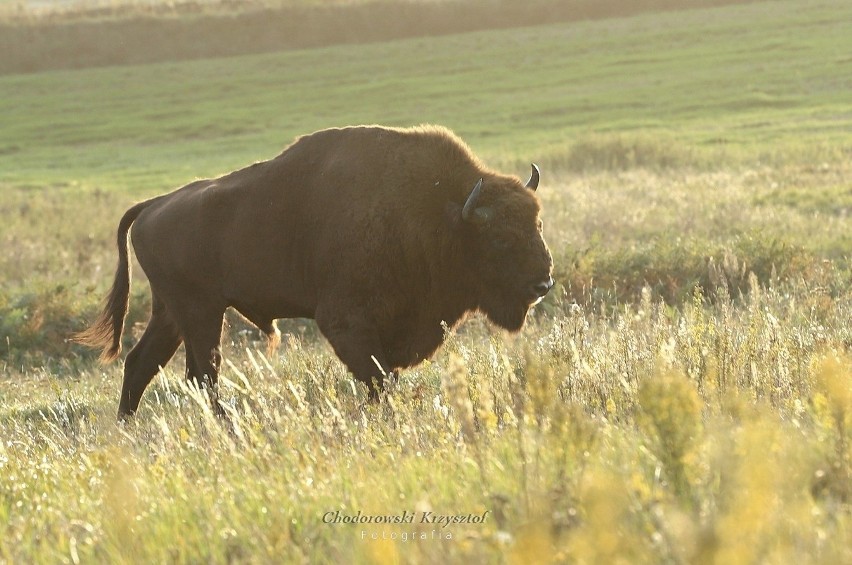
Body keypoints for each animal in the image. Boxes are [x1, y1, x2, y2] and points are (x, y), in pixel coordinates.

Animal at [76, 124, 556, 414]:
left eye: (537, 224)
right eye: (499, 239)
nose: (543, 283)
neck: (444, 212)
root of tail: (153, 205)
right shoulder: (347, 324)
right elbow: (378, 377)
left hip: (174, 313)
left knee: (145, 365)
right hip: (200, 312)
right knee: (201, 373)